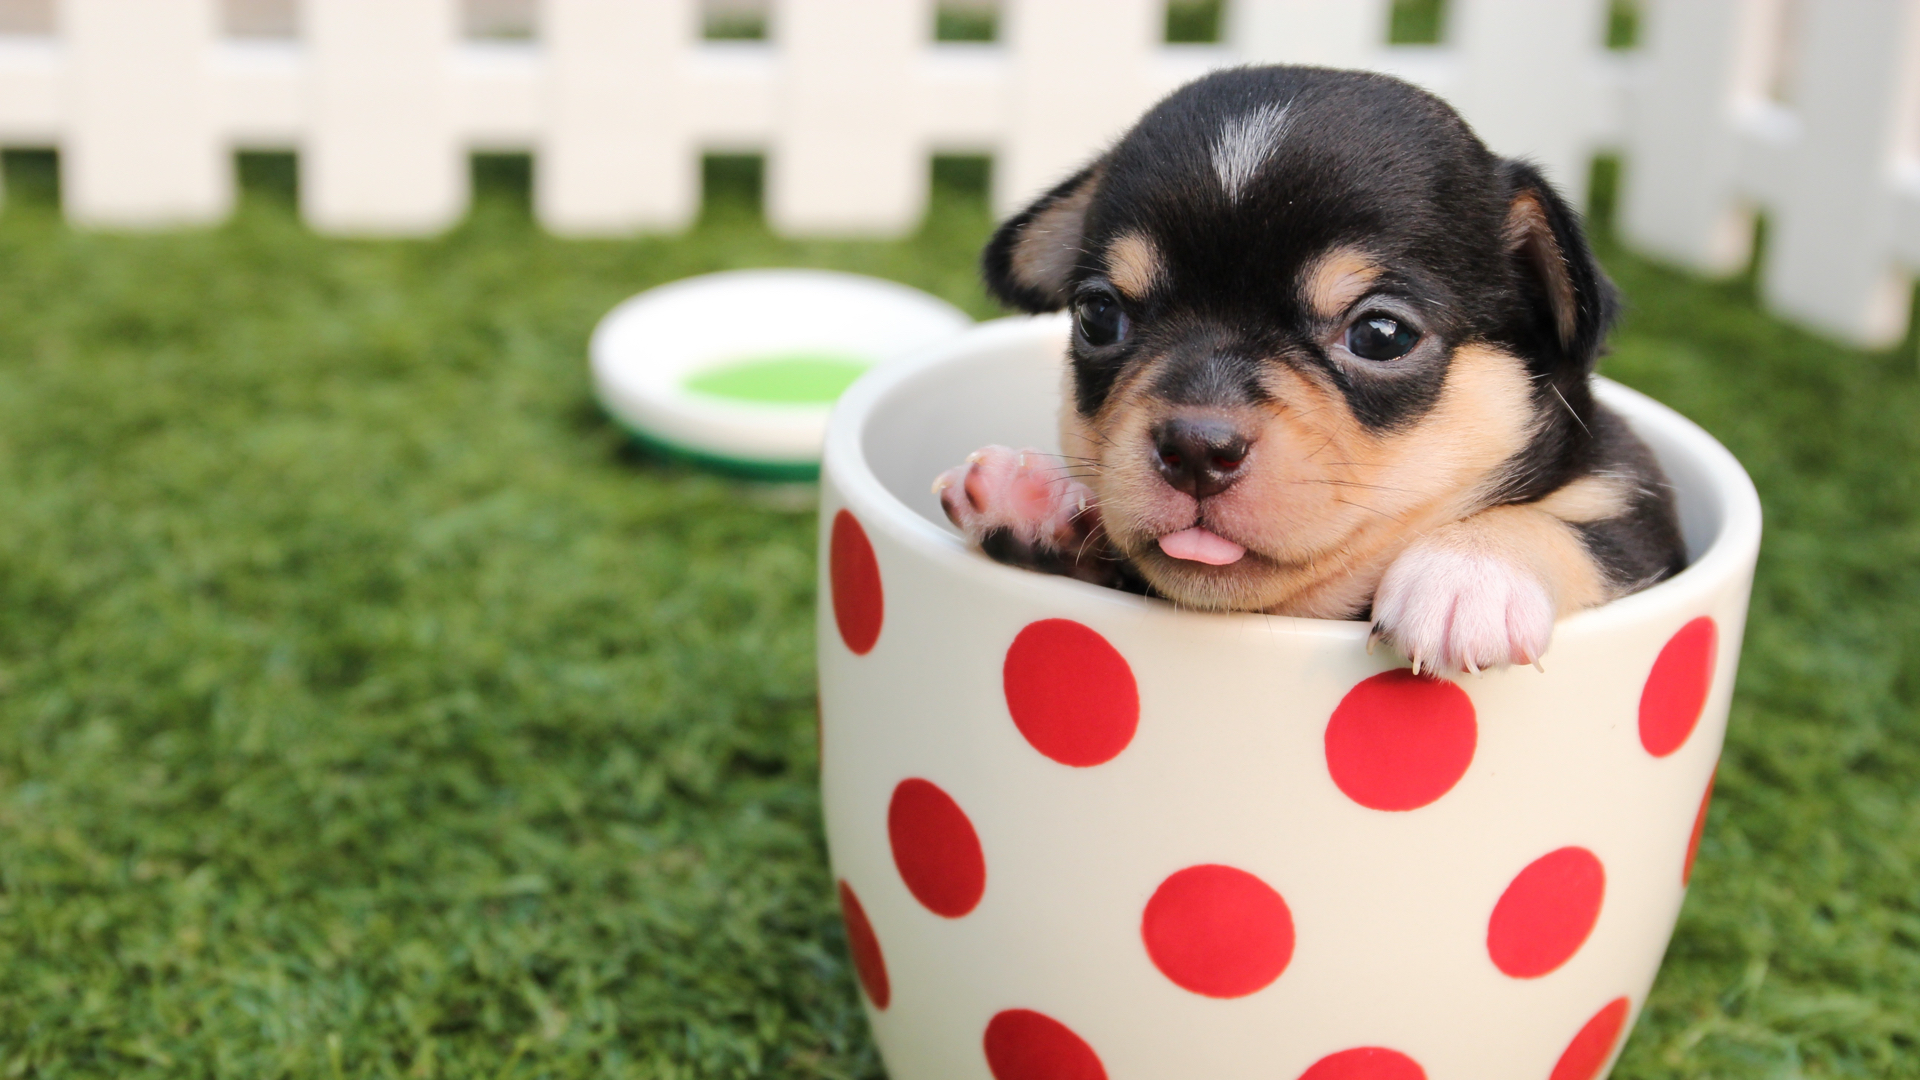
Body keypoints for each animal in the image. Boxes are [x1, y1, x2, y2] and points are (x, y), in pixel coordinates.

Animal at [936, 65, 1689, 672]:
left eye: (1381, 335)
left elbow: (1577, 524)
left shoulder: (1637, 508)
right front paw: (1033, 498)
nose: (1195, 448)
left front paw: (1468, 572)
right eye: (1098, 316)